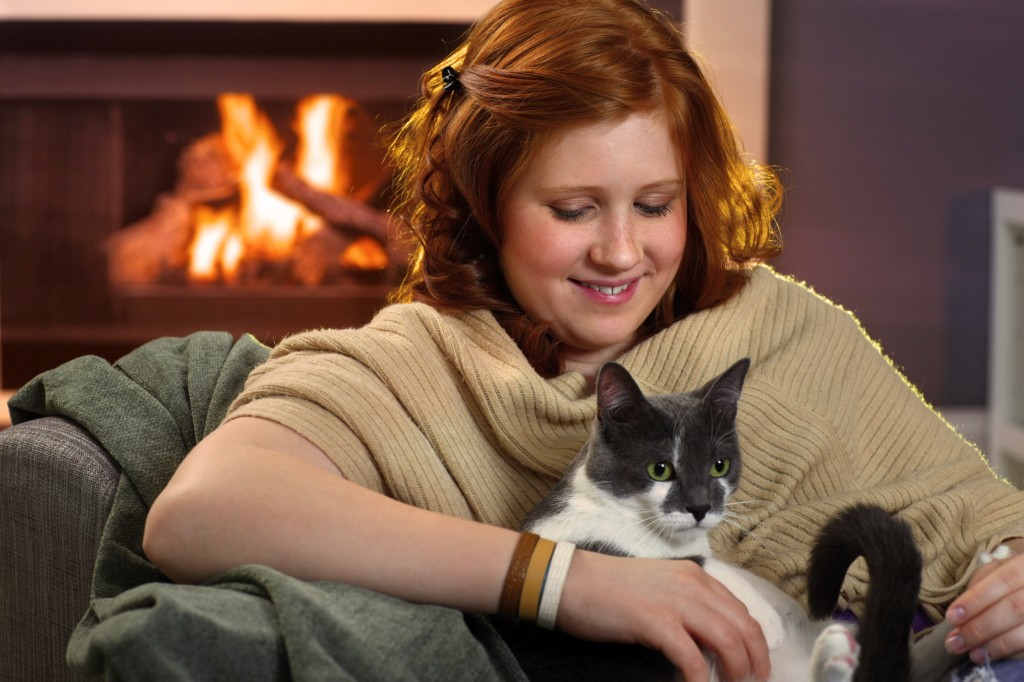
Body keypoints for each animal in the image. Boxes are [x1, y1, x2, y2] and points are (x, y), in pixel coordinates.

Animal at [516, 358, 925, 675]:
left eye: (719, 465)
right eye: (660, 469)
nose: (700, 507)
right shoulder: (569, 538)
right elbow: (690, 565)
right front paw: (766, 619)